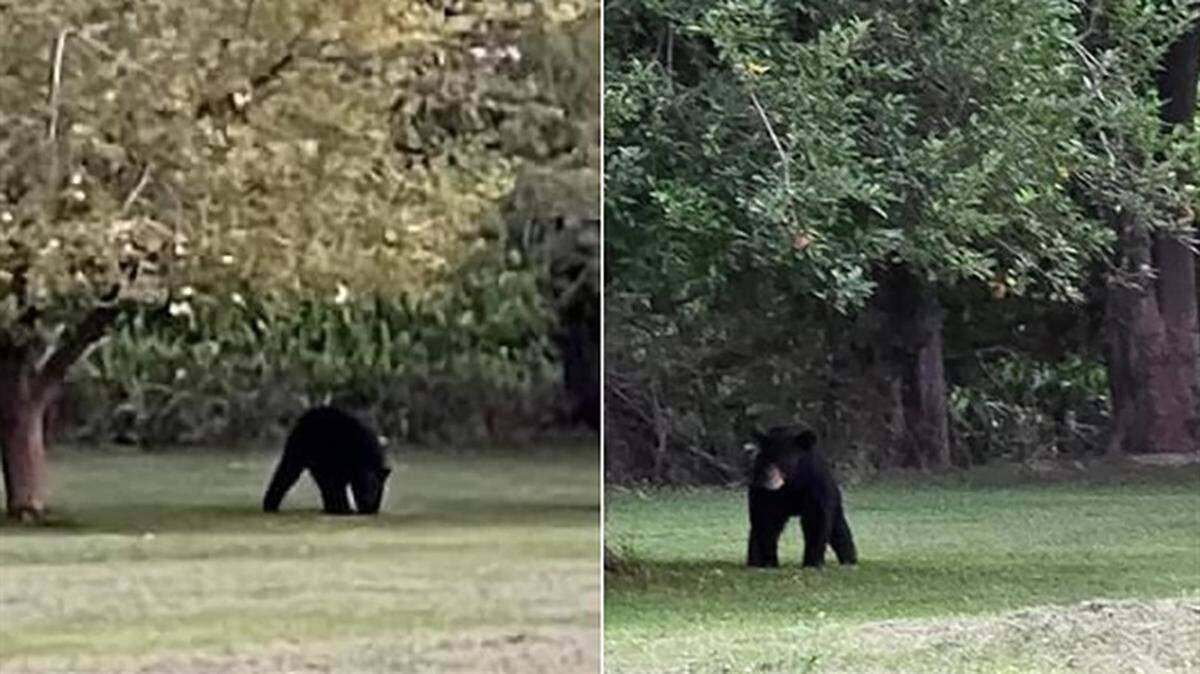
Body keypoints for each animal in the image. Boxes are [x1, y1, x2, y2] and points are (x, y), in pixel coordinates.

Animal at [263, 406, 392, 515]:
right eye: (364, 488)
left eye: (376, 489)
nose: (367, 506)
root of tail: (309, 414)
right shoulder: (338, 464)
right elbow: (337, 487)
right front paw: (345, 509)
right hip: (299, 449)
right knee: (287, 472)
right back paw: (269, 505)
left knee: (323, 483)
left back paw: (329, 507)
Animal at [746, 426, 856, 568]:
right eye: (764, 460)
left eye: (781, 462)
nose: (767, 478)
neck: (792, 482)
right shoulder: (765, 493)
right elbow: (766, 518)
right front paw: (768, 561)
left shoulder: (815, 484)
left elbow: (816, 518)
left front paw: (812, 561)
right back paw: (754, 561)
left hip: (835, 497)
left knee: (839, 528)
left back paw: (849, 560)